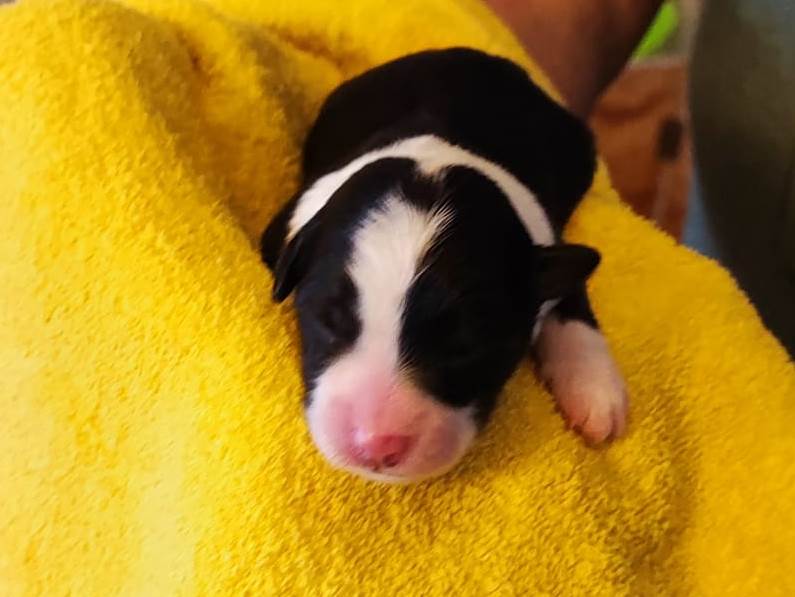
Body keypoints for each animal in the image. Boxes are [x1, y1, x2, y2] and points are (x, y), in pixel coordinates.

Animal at [261, 48, 628, 483]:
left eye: (466, 343)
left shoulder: (546, 243)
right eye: (328, 318)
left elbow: (569, 290)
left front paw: (595, 392)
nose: (377, 447)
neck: (433, 162)